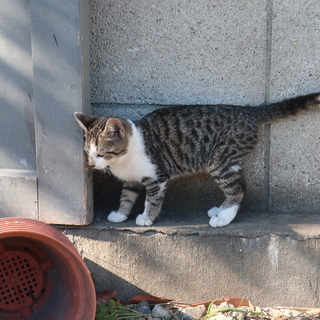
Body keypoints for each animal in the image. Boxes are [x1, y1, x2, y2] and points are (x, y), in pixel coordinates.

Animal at [74, 92, 320, 228]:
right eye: (88, 152)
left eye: (101, 153)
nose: (91, 164)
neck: (126, 157)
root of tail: (249, 112)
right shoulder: (132, 179)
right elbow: (127, 196)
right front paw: (121, 214)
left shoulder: (157, 177)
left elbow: (152, 200)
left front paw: (146, 217)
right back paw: (220, 210)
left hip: (220, 160)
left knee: (238, 188)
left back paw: (224, 218)